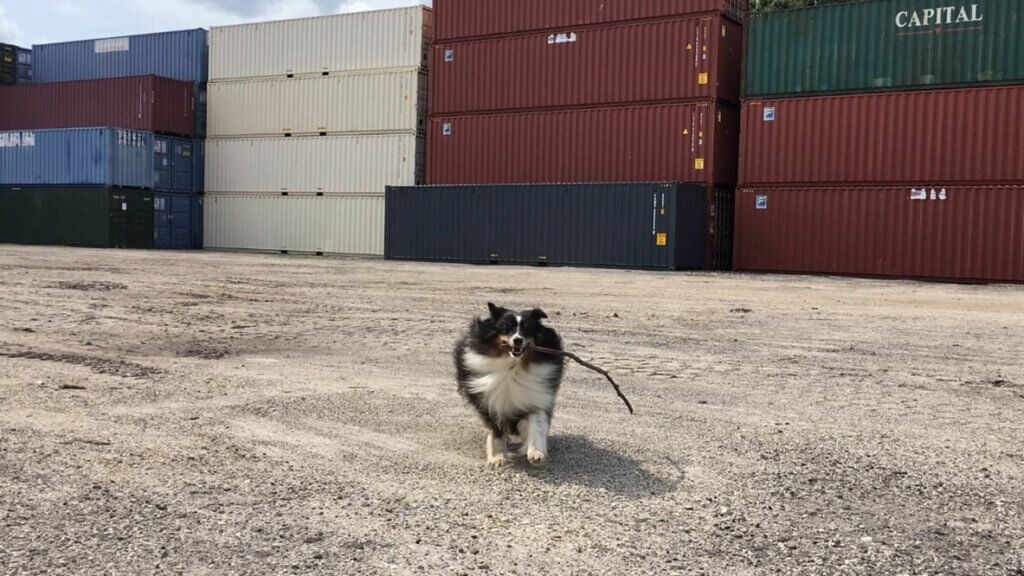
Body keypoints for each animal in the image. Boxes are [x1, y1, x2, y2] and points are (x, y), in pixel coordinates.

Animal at [458, 303, 569, 463]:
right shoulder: (492, 402)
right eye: (506, 328)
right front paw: (497, 457)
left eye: (527, 328)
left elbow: (536, 424)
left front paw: (535, 453)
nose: (518, 340)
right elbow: (496, 431)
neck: (513, 366)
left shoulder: (536, 398)